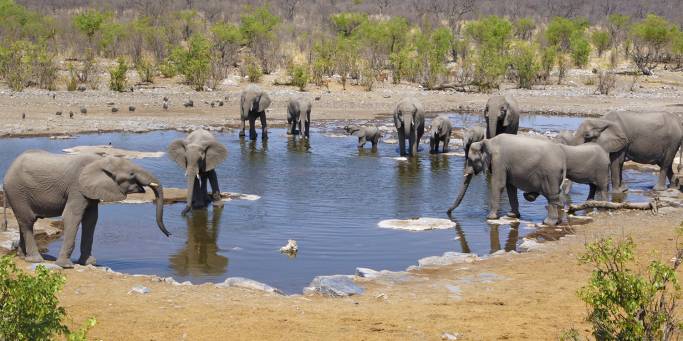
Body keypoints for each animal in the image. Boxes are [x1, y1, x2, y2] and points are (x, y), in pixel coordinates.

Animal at [3, 150, 171, 266]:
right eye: (131, 174)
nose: (169, 235)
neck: (101, 161)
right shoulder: (76, 187)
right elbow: (73, 216)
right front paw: (66, 266)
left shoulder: (90, 191)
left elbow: (91, 219)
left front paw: (89, 263)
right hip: (17, 191)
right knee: (27, 221)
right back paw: (36, 260)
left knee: (23, 222)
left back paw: (23, 257)